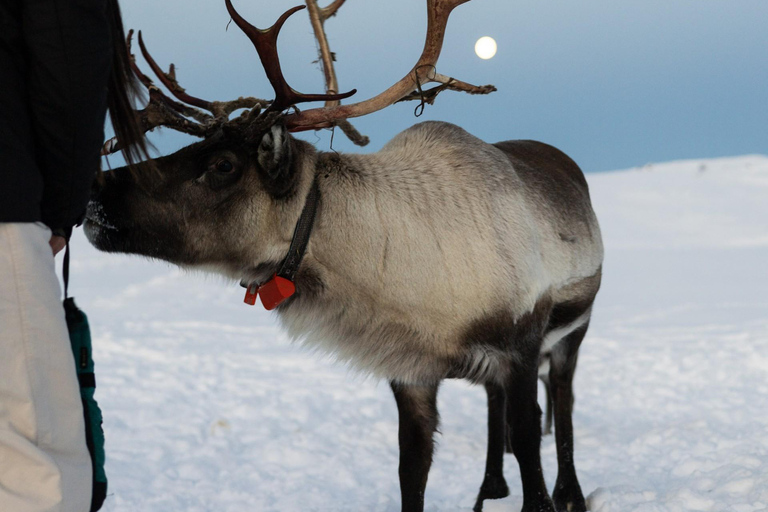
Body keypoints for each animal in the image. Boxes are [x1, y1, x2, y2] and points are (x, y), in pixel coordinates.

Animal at [86, 1, 603, 511]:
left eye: (223, 165)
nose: (94, 188)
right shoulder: (411, 373)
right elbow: (412, 470)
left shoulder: (521, 348)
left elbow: (531, 451)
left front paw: (551, 494)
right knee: (497, 410)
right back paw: (491, 488)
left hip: (574, 332)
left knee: (563, 398)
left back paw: (570, 491)